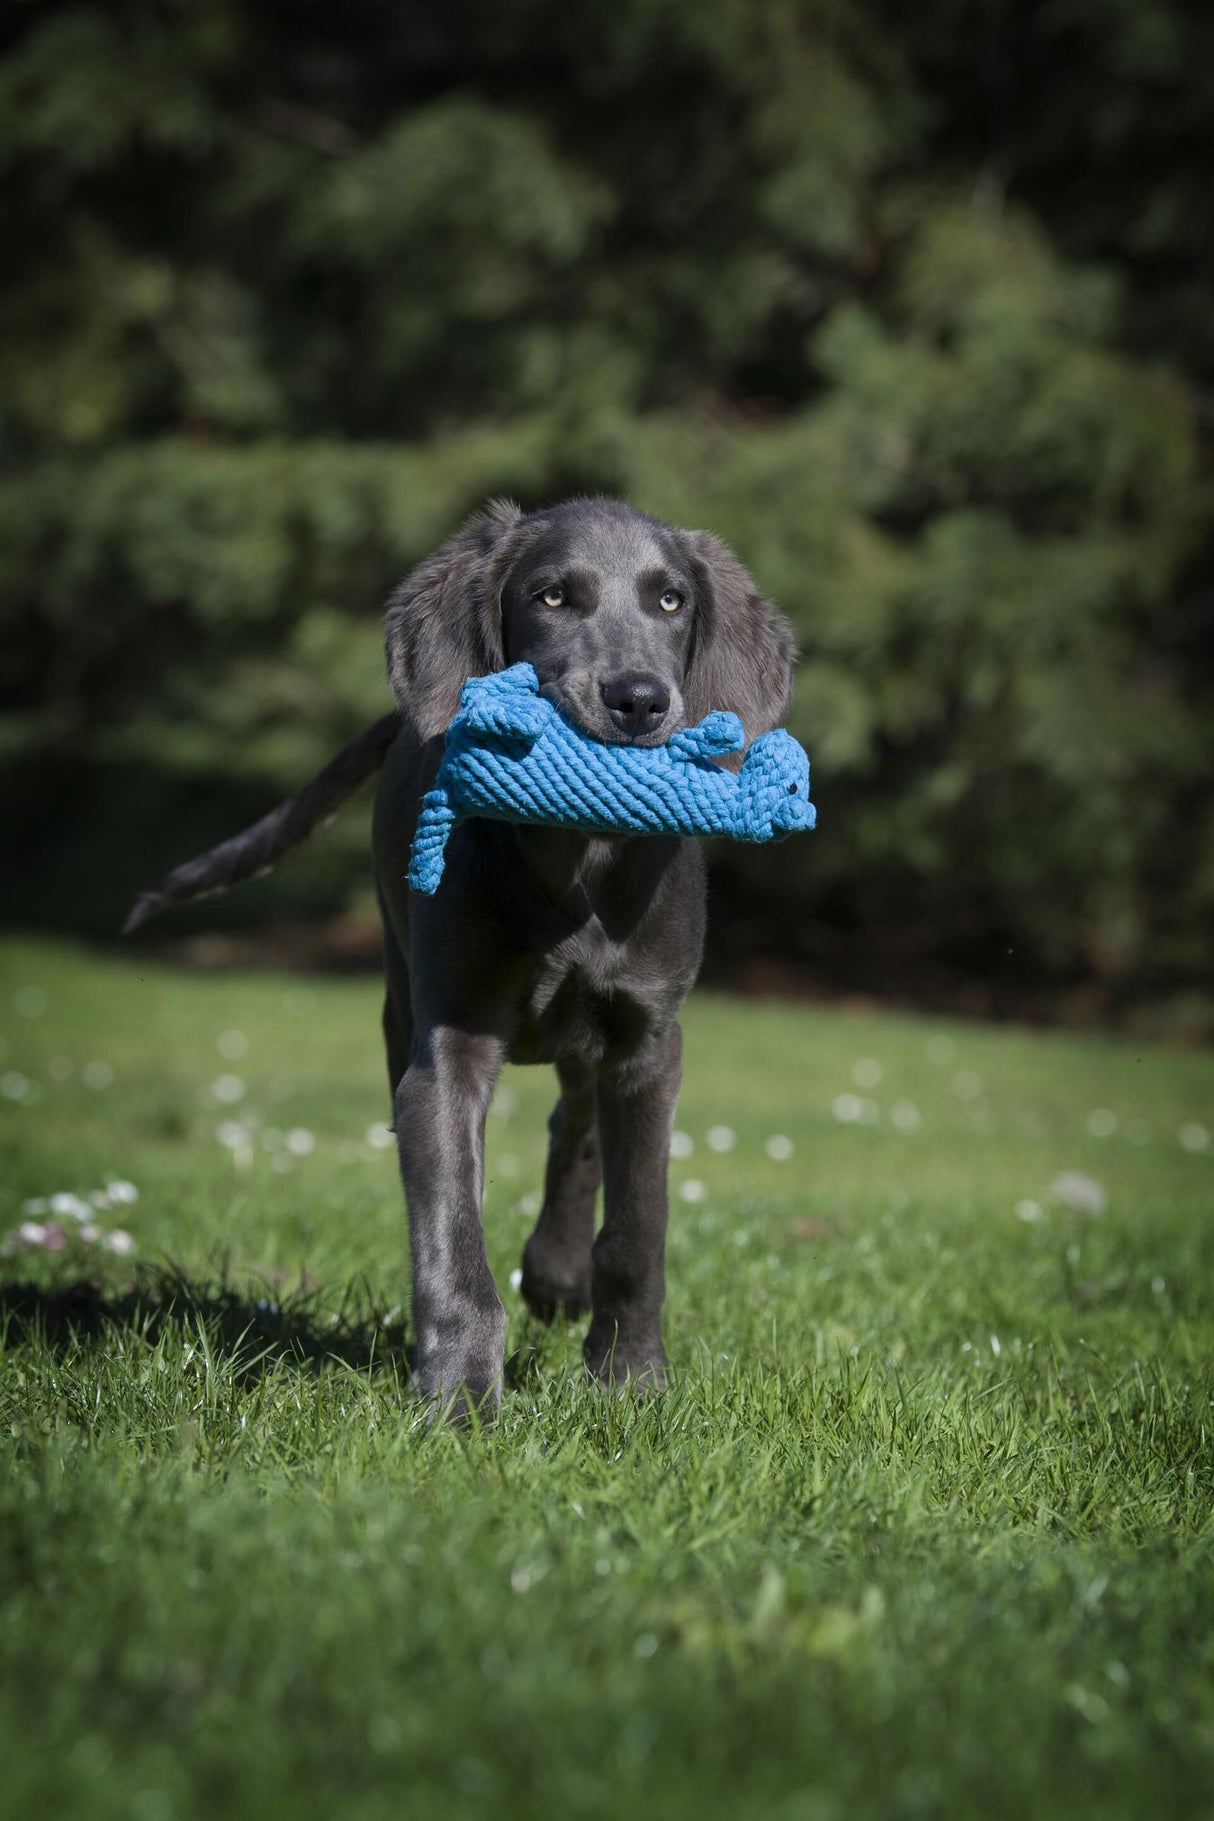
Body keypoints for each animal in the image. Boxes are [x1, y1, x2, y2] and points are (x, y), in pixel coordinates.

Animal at [131, 502, 797, 1420]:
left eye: (671, 601)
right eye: (552, 596)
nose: (638, 699)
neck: (575, 856)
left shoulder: (648, 1040)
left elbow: (636, 1228)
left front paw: (630, 1379)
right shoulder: (448, 1041)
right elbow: (451, 1229)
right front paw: (461, 1399)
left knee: (575, 1125)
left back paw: (557, 1272)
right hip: (398, 993)